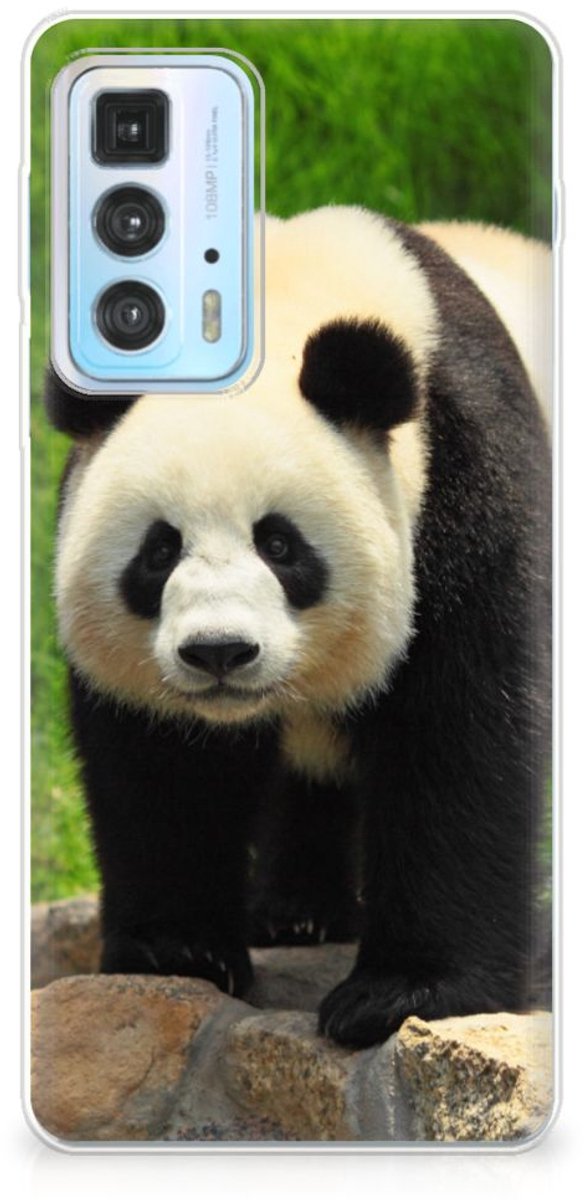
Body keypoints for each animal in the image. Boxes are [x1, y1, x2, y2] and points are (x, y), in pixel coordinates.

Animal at [46, 207, 551, 1049]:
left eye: (280, 545)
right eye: (159, 550)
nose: (219, 652)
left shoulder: (468, 483)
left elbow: (459, 734)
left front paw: (402, 993)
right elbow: (161, 765)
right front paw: (178, 950)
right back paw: (297, 912)